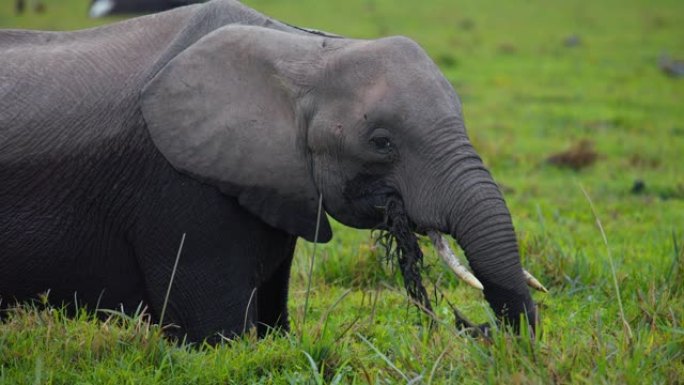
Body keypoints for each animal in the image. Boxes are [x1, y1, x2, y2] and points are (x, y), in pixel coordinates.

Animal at [2, 0, 544, 342]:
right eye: (381, 143)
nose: (474, 327)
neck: (300, 52)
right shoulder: (176, 189)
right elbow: (218, 338)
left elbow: (271, 323)